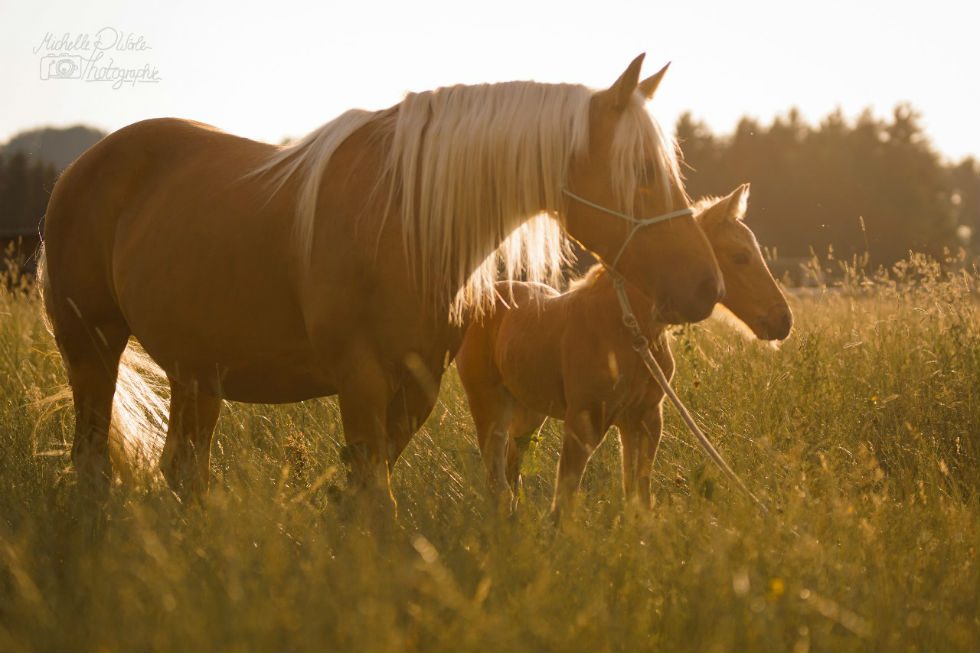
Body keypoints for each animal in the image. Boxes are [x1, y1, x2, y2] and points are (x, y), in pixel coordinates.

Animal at [42, 57, 724, 504]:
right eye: (640, 171)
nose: (705, 287)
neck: (403, 220)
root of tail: (80, 167)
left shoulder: (417, 385)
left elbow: (367, 493)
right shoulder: (361, 380)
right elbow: (376, 499)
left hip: (197, 374)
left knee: (185, 469)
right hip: (92, 349)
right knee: (93, 459)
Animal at [456, 182, 792, 510]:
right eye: (740, 256)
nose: (783, 321)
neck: (627, 331)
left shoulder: (644, 420)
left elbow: (638, 497)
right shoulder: (585, 421)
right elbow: (564, 501)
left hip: (529, 410)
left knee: (512, 470)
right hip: (488, 405)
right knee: (497, 479)